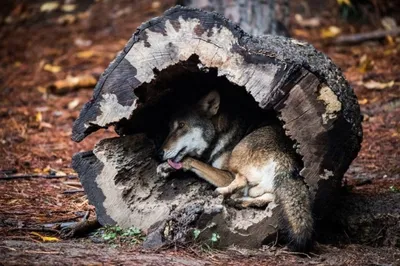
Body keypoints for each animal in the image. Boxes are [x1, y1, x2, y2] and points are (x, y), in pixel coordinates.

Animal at [156, 89, 312, 251]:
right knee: (265, 197)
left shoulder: (227, 175)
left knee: (241, 182)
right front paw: (165, 167)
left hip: (238, 153)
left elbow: (191, 160)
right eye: (169, 128)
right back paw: (238, 201)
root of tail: (287, 158)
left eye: (181, 125)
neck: (219, 134)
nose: (159, 154)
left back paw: (222, 193)